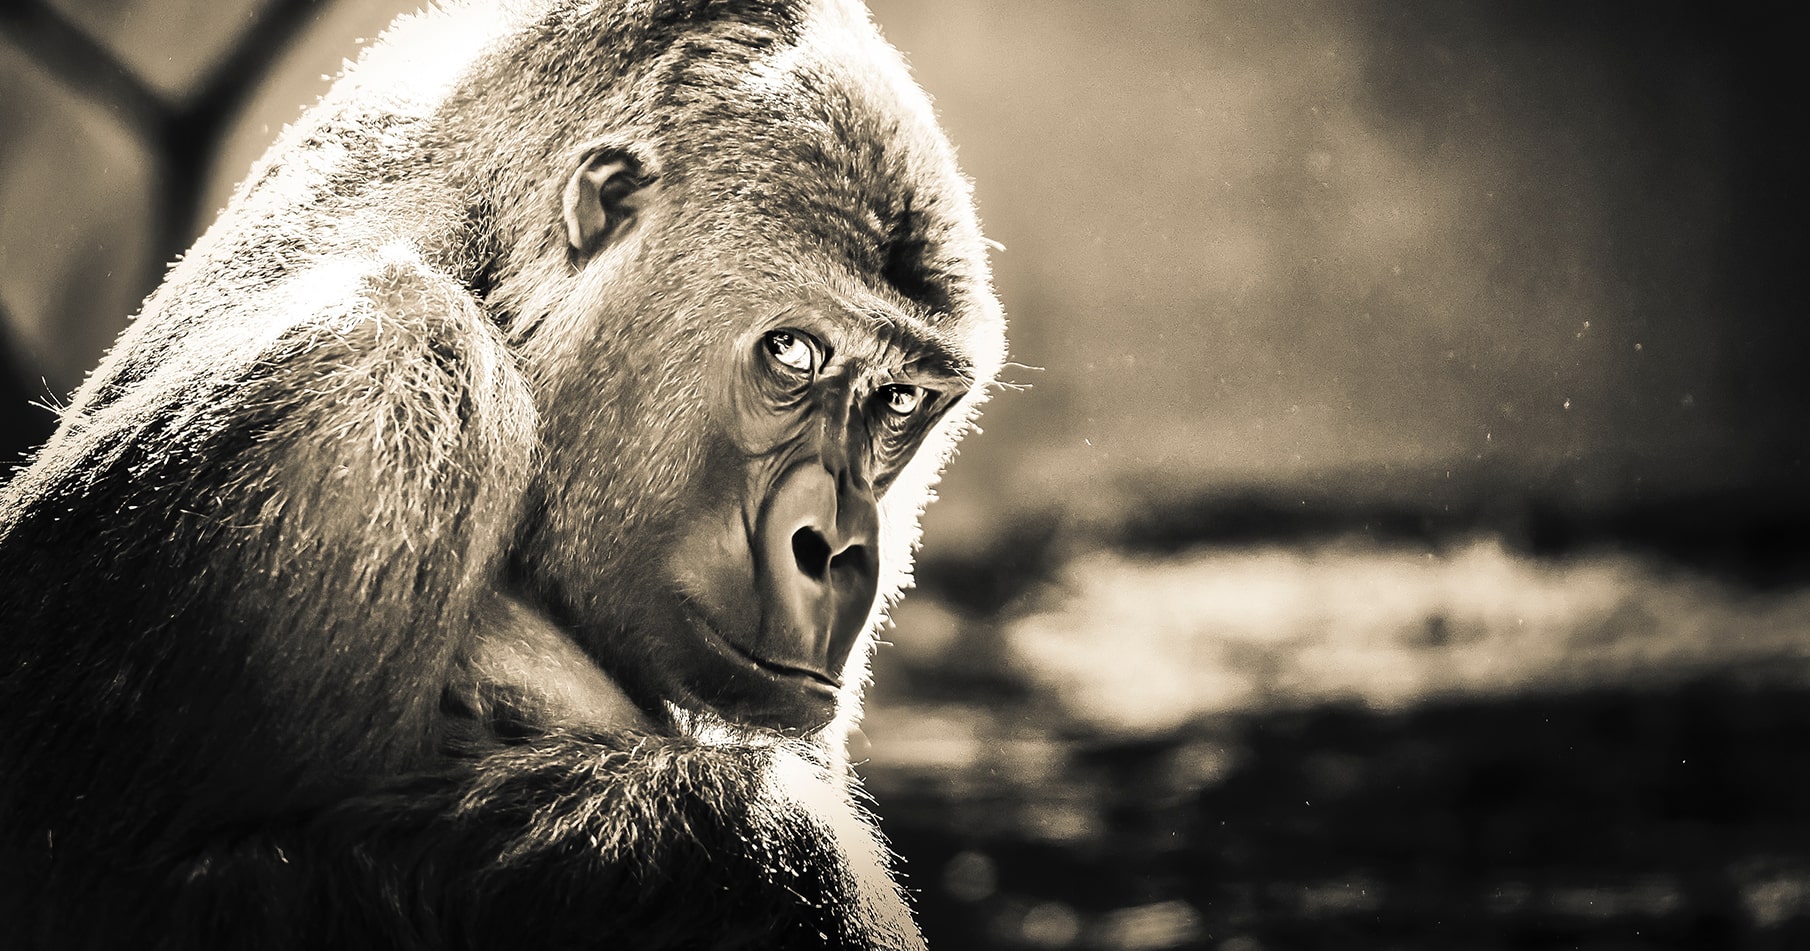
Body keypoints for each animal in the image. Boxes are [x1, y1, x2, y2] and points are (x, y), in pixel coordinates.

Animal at [0, 1, 1005, 948]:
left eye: (901, 402)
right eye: (792, 354)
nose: (832, 546)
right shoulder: (376, 381)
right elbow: (112, 885)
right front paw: (763, 852)